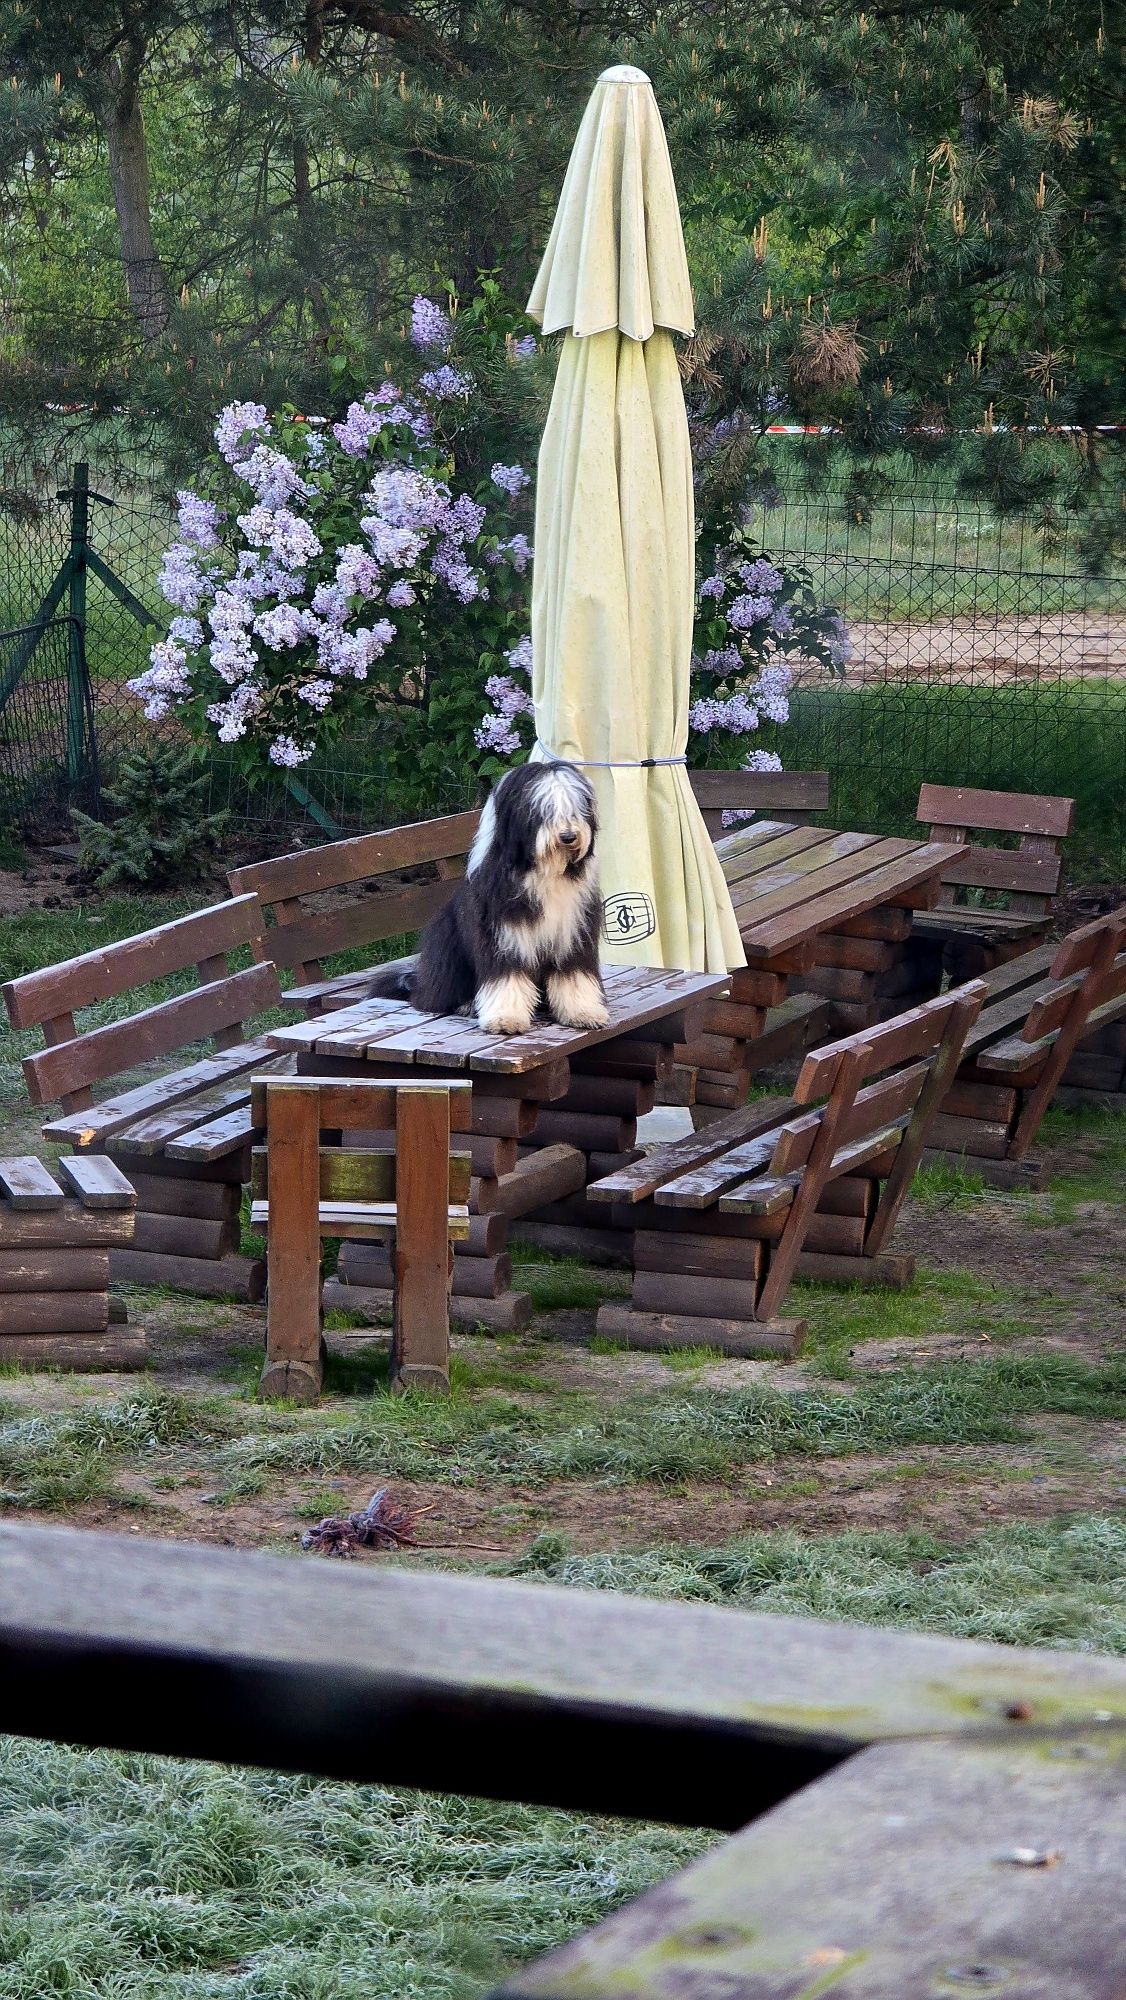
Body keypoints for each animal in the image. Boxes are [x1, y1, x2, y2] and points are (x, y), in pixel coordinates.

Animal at [372, 764, 608, 1040]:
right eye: (542, 810)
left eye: (576, 807)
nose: (569, 836)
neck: (544, 873)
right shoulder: (503, 936)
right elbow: (505, 977)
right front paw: (505, 1019)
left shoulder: (573, 933)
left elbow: (575, 975)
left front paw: (584, 1013)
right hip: (447, 954)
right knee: (434, 998)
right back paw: (464, 1005)